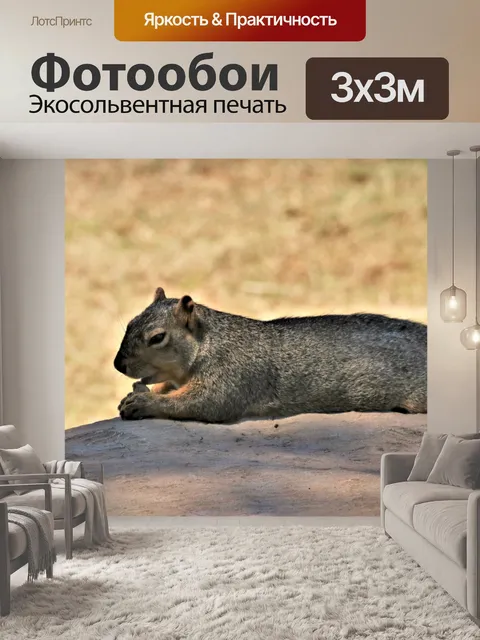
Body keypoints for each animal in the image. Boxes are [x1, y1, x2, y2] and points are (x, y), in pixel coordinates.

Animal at [114, 287, 427, 423]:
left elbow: (204, 403)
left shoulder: (233, 372)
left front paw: (144, 402)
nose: (118, 365)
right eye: (130, 322)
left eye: (157, 338)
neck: (210, 340)